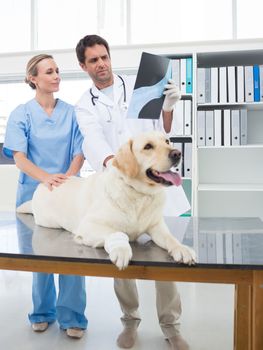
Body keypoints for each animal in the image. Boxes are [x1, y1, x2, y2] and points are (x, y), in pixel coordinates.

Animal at [17, 133, 196, 270]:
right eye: (148, 146)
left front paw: (182, 249)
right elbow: (117, 233)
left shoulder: (156, 226)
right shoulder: (88, 226)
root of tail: (42, 184)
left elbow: (170, 238)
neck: (138, 193)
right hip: (49, 221)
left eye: (167, 141)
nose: (177, 153)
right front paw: (121, 249)